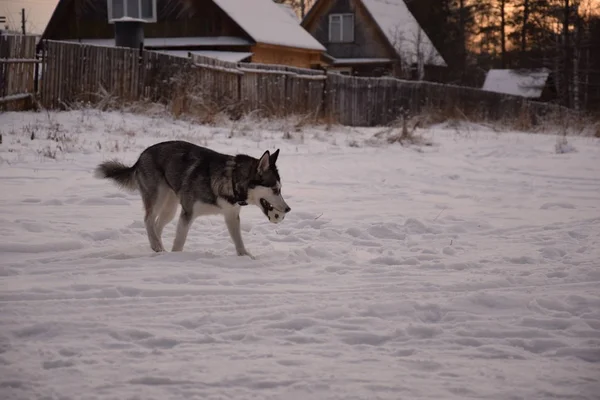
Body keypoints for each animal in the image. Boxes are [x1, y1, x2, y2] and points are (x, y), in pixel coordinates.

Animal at [94, 141, 290, 260]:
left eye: (281, 189)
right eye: (276, 189)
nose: (288, 209)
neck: (232, 180)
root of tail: (142, 155)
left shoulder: (231, 215)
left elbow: (239, 242)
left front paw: (246, 257)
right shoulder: (187, 213)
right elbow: (179, 241)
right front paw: (176, 256)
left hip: (170, 208)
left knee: (157, 225)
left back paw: (157, 247)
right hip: (158, 197)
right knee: (148, 220)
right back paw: (157, 246)